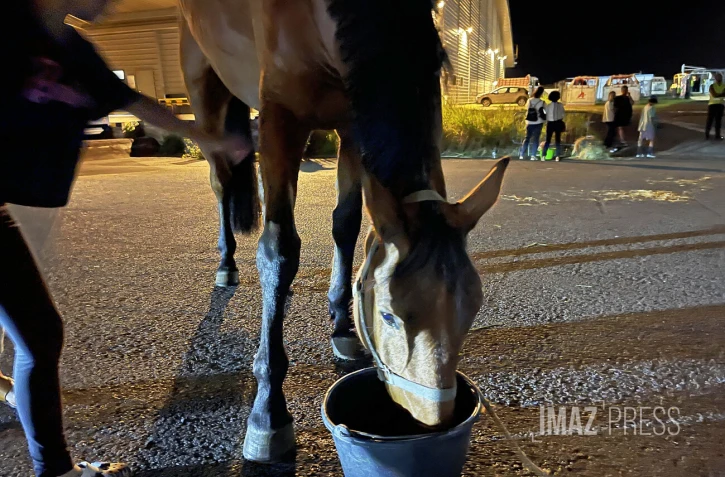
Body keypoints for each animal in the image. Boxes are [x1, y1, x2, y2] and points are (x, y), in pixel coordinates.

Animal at [179, 0, 509, 463]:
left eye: (473, 307)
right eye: (388, 314)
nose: (434, 419)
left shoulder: (353, 125)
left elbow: (347, 223)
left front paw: (341, 324)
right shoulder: (280, 117)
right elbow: (279, 249)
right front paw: (268, 413)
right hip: (204, 95)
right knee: (221, 181)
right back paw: (226, 263)